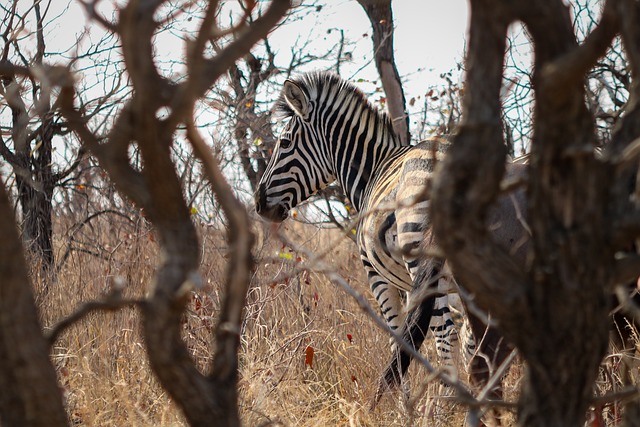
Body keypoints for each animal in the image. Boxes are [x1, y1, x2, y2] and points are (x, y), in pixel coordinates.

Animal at [255, 71, 457, 370]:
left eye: (285, 143)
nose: (258, 203)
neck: (374, 168)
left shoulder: (377, 277)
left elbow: (400, 338)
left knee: (446, 335)